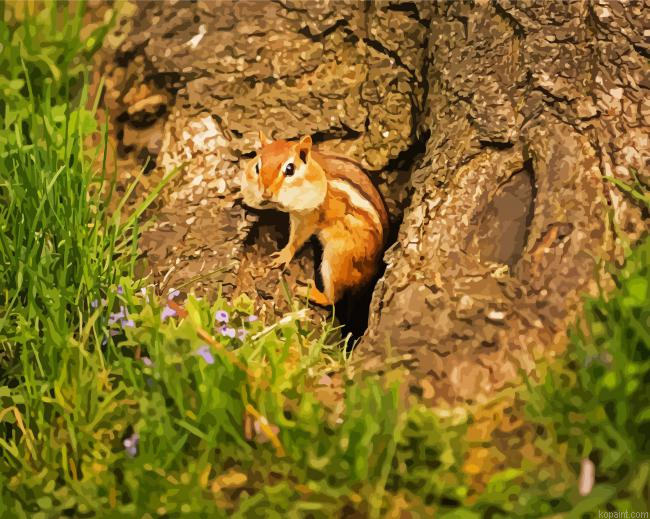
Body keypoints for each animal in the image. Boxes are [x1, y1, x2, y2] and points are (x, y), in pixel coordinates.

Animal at [241, 132, 389, 306]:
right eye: (257, 167)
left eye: (290, 169)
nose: (266, 193)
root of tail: (372, 271)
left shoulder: (309, 216)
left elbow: (298, 237)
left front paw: (284, 255)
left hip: (337, 257)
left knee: (333, 299)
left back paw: (310, 292)